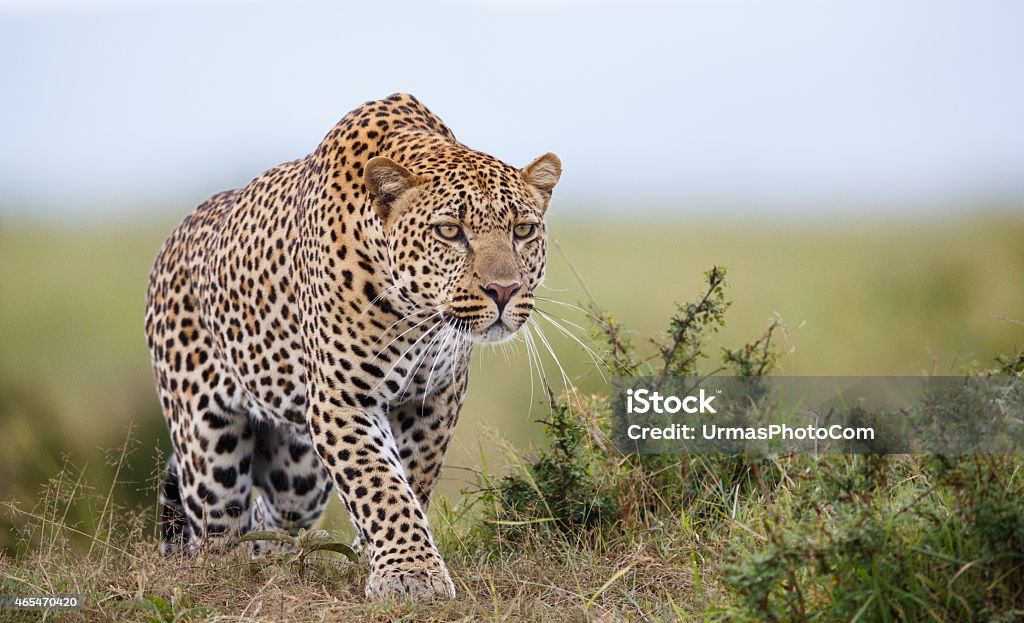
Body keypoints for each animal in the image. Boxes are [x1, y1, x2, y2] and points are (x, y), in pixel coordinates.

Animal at [144, 92, 561, 598]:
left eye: (523, 230)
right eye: (449, 231)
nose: (503, 290)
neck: (417, 315)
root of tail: (174, 237)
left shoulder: (433, 399)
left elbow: (410, 480)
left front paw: (379, 558)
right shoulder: (342, 400)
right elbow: (380, 483)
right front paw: (410, 574)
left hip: (298, 474)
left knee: (270, 518)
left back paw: (275, 564)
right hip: (209, 448)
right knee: (216, 531)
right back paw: (230, 573)